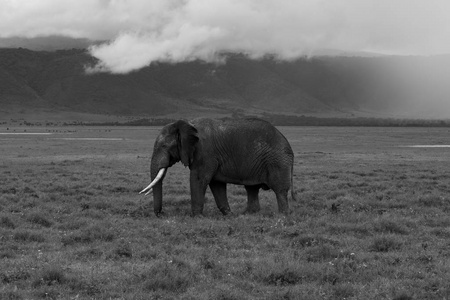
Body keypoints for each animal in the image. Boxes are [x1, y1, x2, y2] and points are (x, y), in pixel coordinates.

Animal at [139, 117, 298, 216]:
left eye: (164, 146)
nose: (161, 214)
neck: (187, 124)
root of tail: (289, 146)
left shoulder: (205, 153)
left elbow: (199, 180)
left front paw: (196, 217)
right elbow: (217, 185)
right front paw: (229, 215)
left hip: (278, 161)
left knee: (279, 190)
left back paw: (283, 216)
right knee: (251, 189)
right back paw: (247, 214)